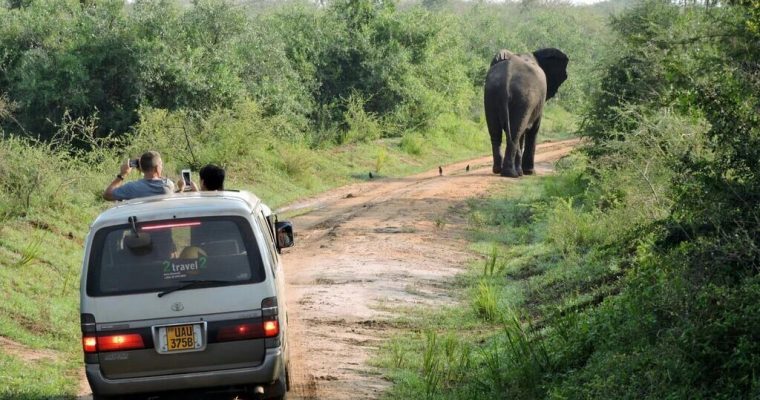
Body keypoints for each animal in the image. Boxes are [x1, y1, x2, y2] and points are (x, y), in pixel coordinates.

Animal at [484, 47, 568, 177]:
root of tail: (507, 77)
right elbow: (534, 130)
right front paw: (529, 172)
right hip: (524, 97)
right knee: (516, 133)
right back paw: (512, 173)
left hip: (491, 94)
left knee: (496, 132)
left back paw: (500, 170)